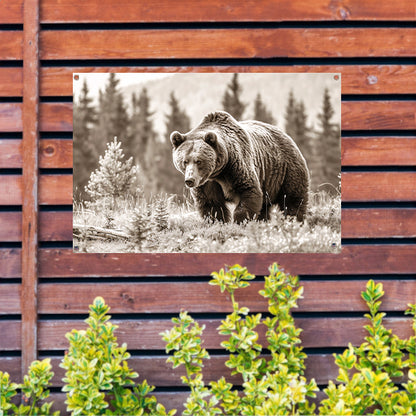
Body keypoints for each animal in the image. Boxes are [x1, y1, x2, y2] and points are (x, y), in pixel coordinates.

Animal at [169, 110, 308, 224]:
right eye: (184, 161)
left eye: (198, 161)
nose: (190, 180)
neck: (218, 172)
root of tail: (286, 135)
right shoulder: (207, 182)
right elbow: (211, 204)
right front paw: (218, 222)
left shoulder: (236, 167)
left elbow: (248, 192)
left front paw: (240, 221)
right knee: (265, 207)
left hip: (285, 169)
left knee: (292, 199)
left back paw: (294, 221)